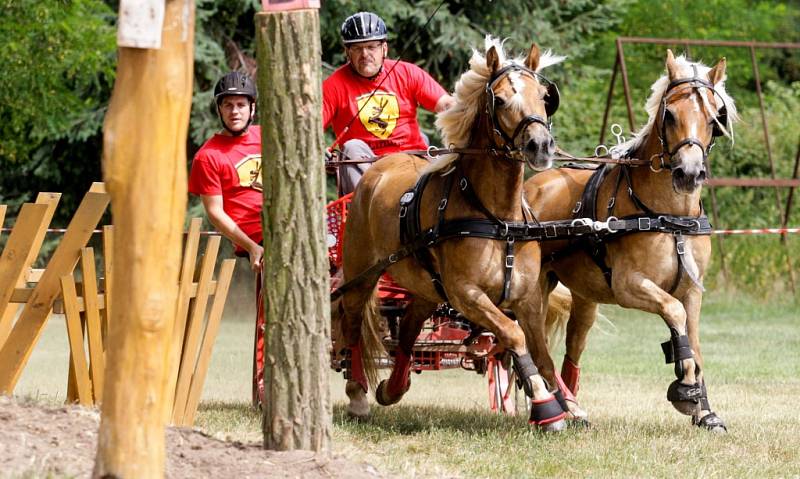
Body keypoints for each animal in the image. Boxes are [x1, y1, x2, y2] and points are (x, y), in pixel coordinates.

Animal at [336, 36, 568, 428]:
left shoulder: (526, 298)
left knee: (409, 329)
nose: (540, 145)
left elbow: (540, 351)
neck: (498, 218)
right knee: (352, 324)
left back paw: (393, 388)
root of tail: (379, 168)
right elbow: (513, 334)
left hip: (426, 286)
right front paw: (545, 404)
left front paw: (570, 405)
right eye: (500, 100)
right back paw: (356, 394)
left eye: (544, 96)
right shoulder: (465, 293)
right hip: (359, 272)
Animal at [524, 50, 736, 434]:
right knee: (537, 346)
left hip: (585, 297)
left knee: (571, 348)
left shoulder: (692, 289)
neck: (668, 215)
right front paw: (685, 388)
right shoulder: (629, 285)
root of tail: (532, 186)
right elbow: (674, 311)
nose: (689, 173)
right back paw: (562, 410)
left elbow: (694, 340)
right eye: (670, 114)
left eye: (715, 117)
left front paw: (704, 410)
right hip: (533, 290)